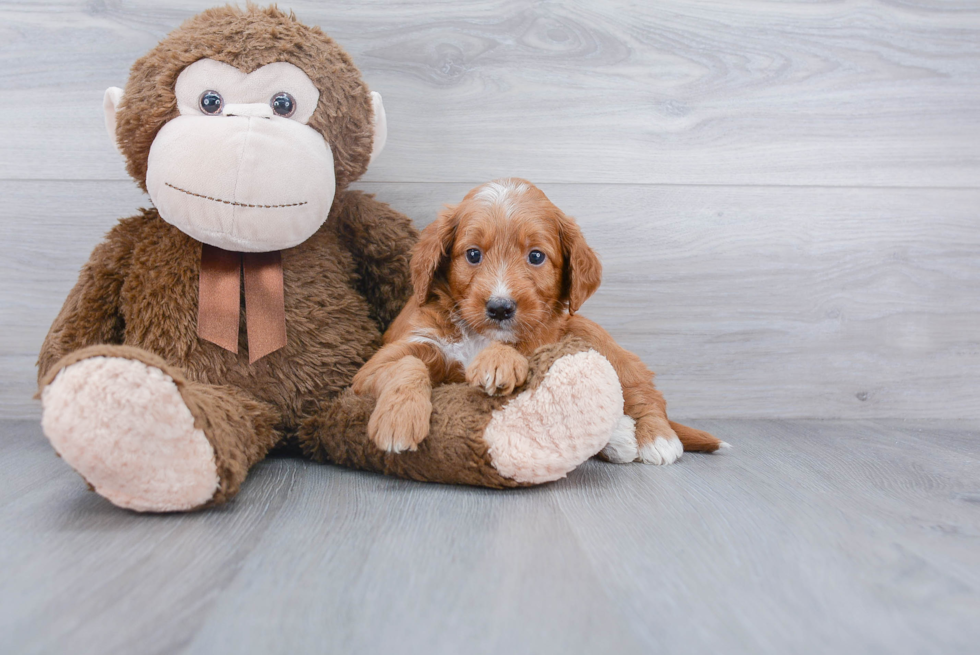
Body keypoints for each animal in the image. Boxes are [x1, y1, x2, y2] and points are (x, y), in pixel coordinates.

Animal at [348, 176, 724, 462]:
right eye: (473, 254)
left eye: (536, 256)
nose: (500, 308)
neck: (480, 336)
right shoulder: (380, 363)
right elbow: (408, 364)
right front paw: (399, 419)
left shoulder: (544, 341)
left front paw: (498, 361)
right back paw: (619, 438)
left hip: (589, 332)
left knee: (644, 391)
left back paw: (656, 438)